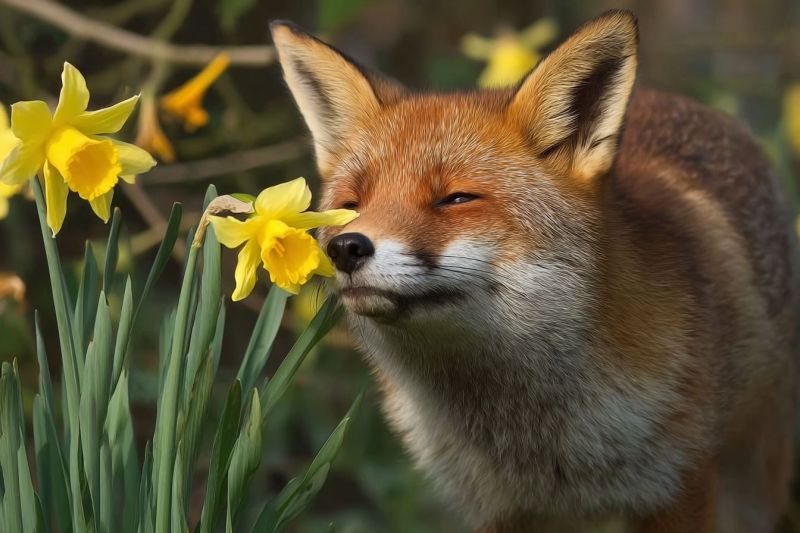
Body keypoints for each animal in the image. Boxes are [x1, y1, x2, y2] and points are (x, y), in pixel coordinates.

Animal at [270, 10, 800, 533]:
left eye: (456, 199)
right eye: (351, 206)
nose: (346, 248)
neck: (534, 442)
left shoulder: (678, 485)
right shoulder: (503, 511)